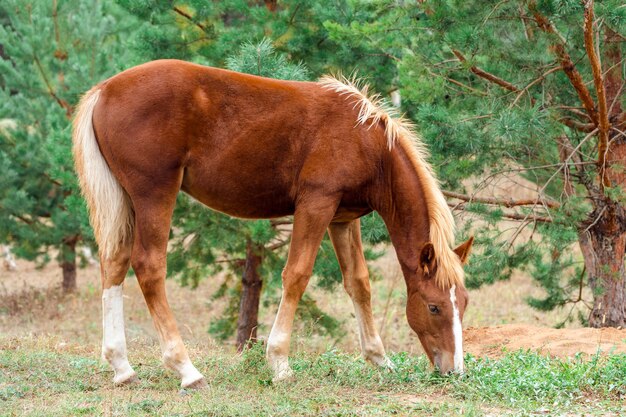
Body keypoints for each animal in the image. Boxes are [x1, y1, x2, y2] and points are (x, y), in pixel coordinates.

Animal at [72, 58, 468, 386]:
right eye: (433, 306)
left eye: (462, 303)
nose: (454, 371)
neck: (365, 139)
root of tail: (104, 90)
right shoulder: (316, 204)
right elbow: (296, 275)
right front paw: (279, 363)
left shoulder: (342, 218)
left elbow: (358, 282)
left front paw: (379, 359)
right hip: (155, 194)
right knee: (149, 266)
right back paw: (186, 369)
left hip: (126, 201)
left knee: (115, 263)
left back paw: (122, 367)